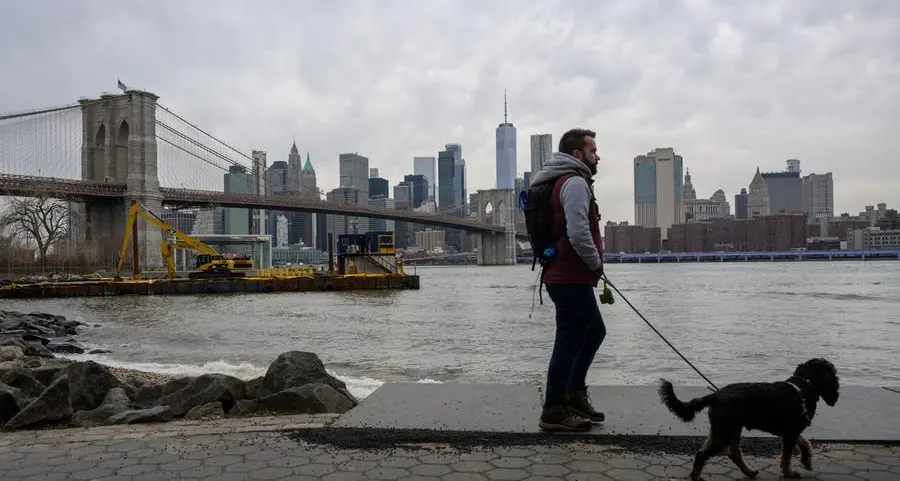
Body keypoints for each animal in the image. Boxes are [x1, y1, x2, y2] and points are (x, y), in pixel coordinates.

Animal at [656, 358, 840, 478]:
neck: (804, 385)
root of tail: (716, 395)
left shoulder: (791, 430)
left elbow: (804, 443)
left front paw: (806, 461)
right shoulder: (790, 432)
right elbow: (787, 456)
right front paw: (789, 472)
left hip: (728, 430)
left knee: (733, 453)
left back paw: (749, 472)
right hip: (725, 432)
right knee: (703, 454)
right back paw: (696, 476)